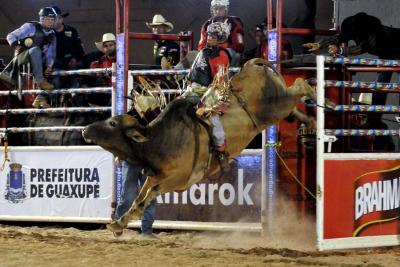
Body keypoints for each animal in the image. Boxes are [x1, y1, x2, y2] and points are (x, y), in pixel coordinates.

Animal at [83, 57, 318, 233]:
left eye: (112, 123)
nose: (85, 130)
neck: (159, 141)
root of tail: (252, 64)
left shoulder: (179, 179)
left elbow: (149, 195)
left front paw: (122, 221)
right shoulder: (156, 175)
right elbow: (140, 196)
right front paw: (118, 222)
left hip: (276, 104)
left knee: (299, 84)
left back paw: (315, 93)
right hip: (279, 107)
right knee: (293, 105)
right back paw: (310, 121)